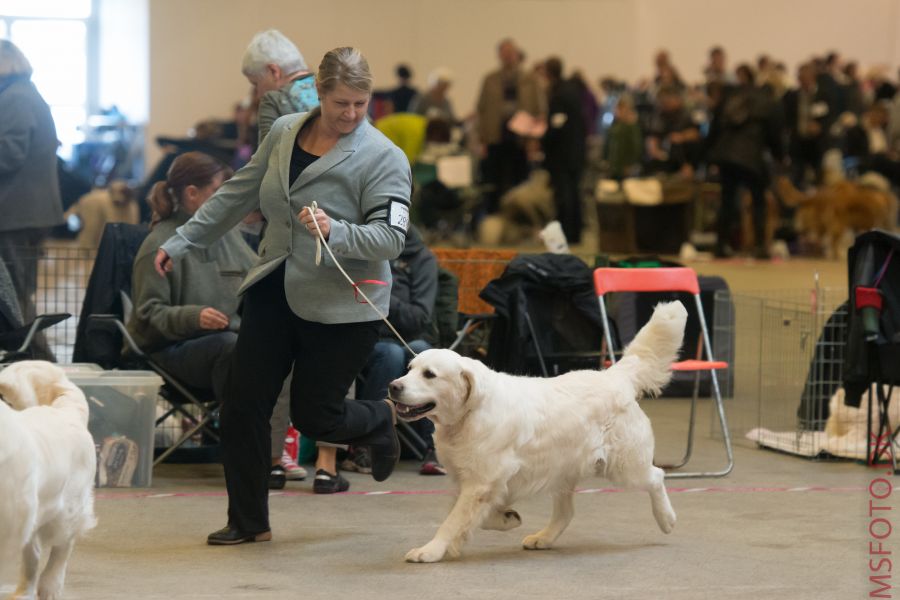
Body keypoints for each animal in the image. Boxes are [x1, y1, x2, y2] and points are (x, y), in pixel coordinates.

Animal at [0, 360, 96, 600]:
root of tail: (66, 411)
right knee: (32, 557)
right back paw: (24, 592)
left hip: (66, 510)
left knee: (63, 546)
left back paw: (50, 586)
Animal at [390, 300, 684, 564]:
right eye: (410, 369)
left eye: (429, 374)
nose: (393, 386)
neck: (467, 414)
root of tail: (615, 376)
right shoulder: (469, 480)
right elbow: (467, 514)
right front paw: (504, 518)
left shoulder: (480, 480)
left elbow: (452, 521)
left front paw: (430, 551)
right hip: (564, 468)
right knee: (566, 512)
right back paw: (542, 538)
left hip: (624, 466)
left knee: (656, 477)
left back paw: (667, 519)